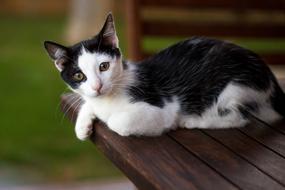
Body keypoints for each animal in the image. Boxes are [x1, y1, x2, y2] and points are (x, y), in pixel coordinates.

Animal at [43, 13, 284, 140]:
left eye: (104, 66)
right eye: (79, 75)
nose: (97, 86)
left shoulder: (162, 108)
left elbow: (117, 122)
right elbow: (88, 103)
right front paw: (82, 127)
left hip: (232, 87)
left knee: (239, 117)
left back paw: (193, 121)